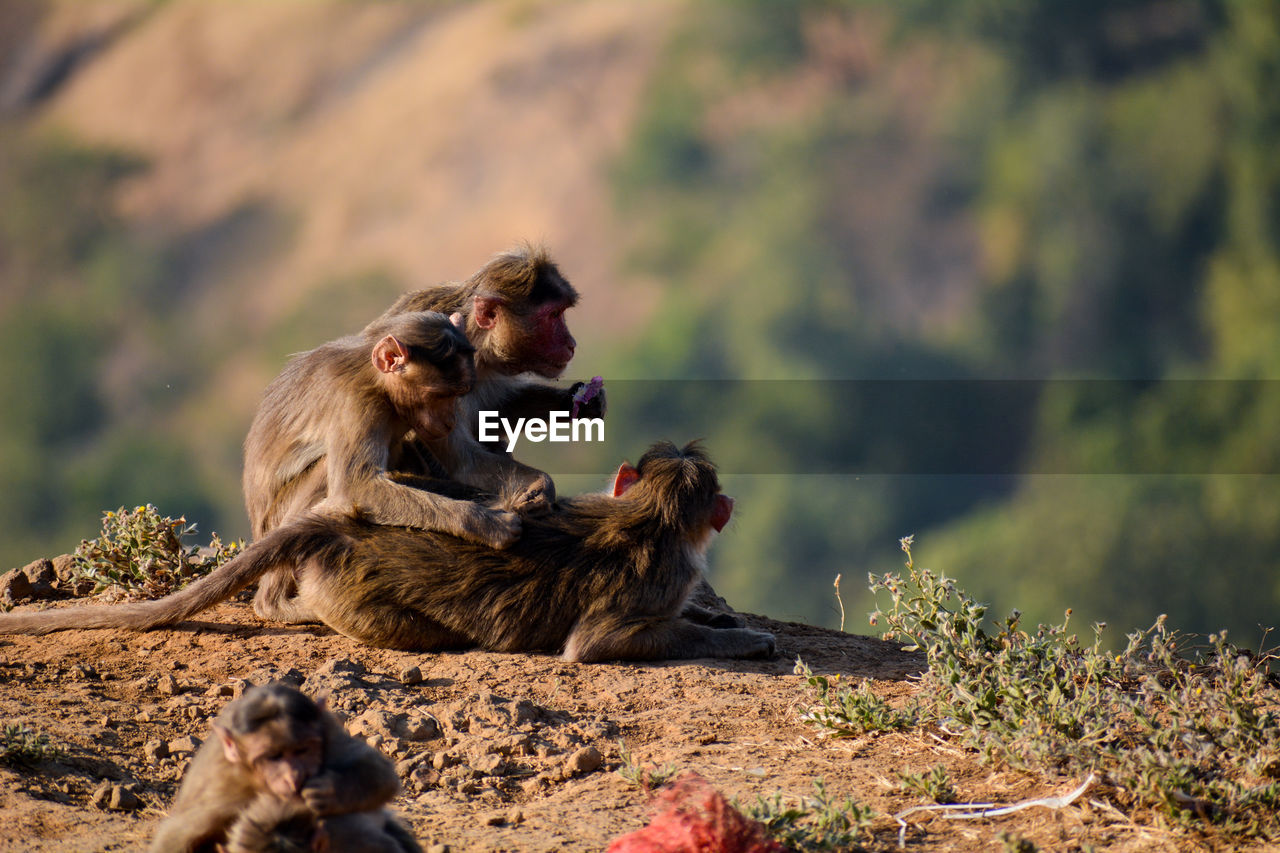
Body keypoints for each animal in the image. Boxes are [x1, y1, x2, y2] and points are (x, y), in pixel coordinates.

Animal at [149, 681, 401, 850]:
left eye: (302, 750)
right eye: (274, 756)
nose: (295, 776)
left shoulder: (329, 731)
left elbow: (380, 772)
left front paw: (330, 791)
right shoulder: (222, 785)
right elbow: (177, 835)